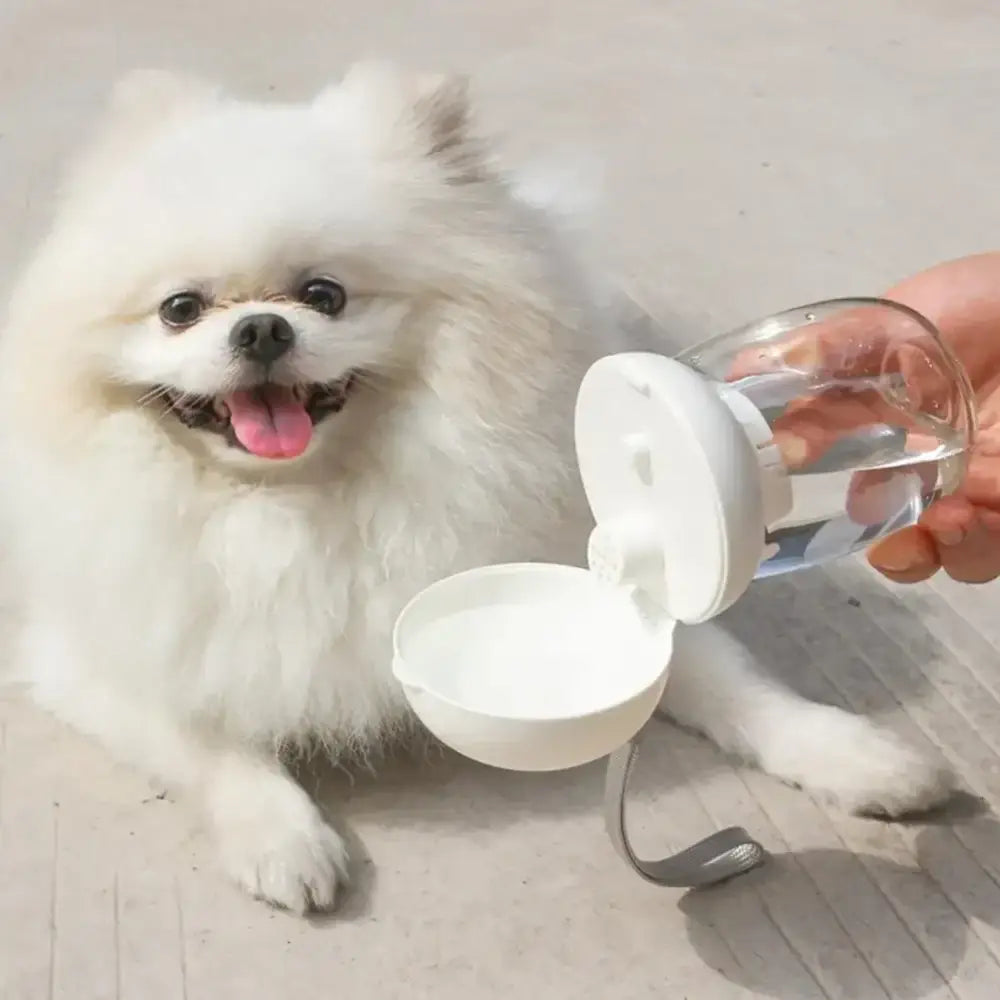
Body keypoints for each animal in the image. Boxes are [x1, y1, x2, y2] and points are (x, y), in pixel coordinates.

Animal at [0, 62, 956, 916]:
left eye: (325, 294)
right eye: (180, 310)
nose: (263, 328)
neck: (299, 504)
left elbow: (734, 684)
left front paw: (852, 755)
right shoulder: (94, 656)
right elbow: (208, 740)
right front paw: (283, 839)